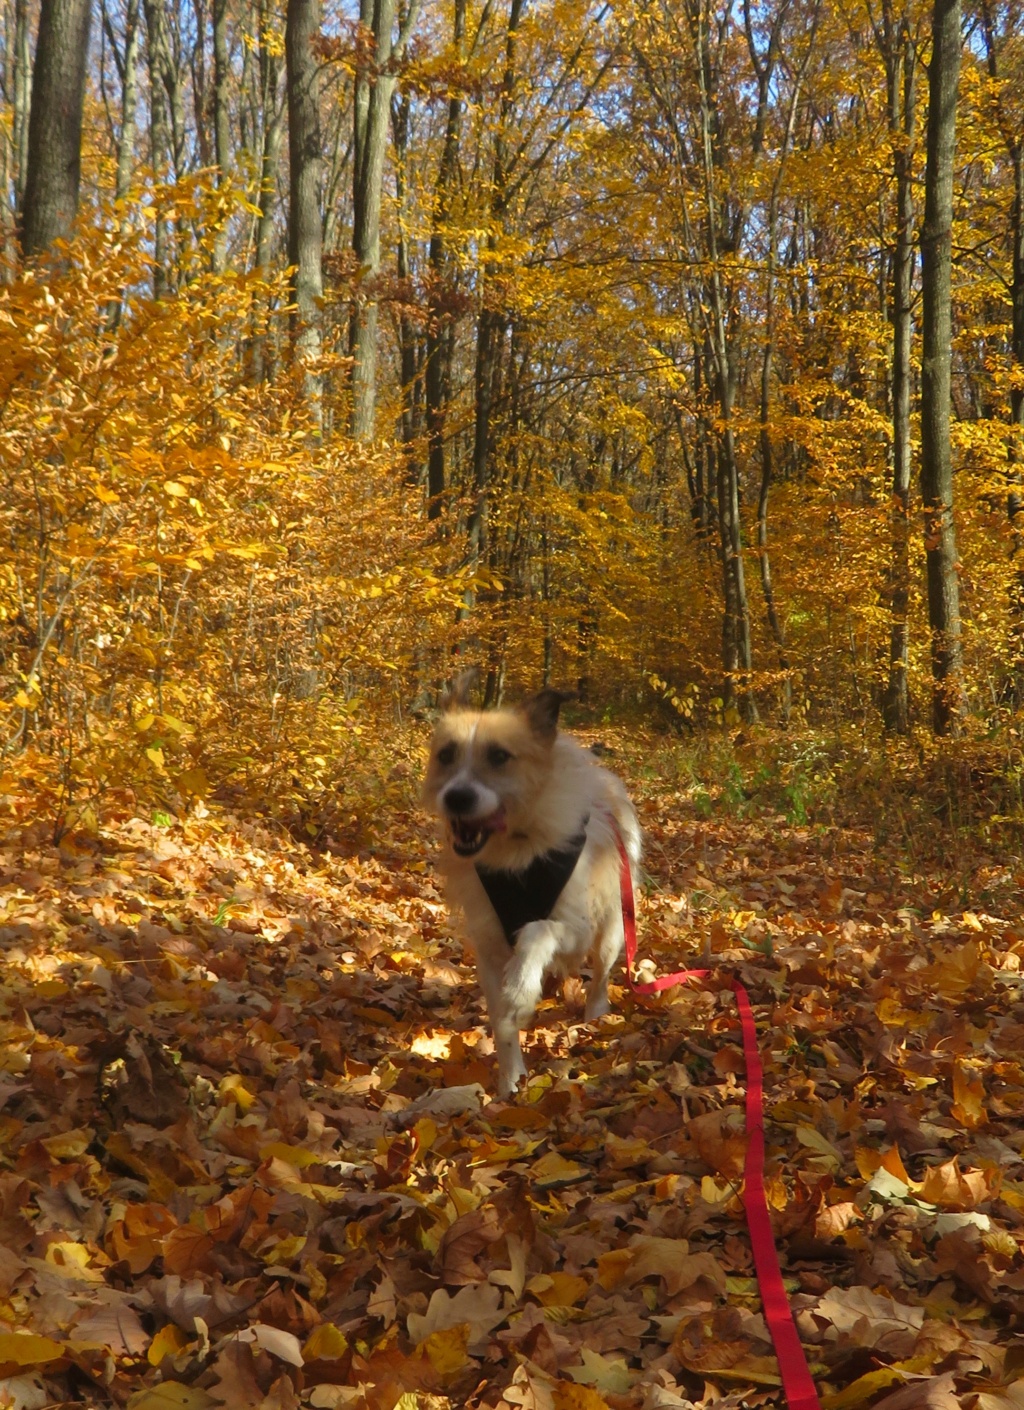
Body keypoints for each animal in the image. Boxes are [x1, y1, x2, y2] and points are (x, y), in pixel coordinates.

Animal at [423, 682, 643, 1099]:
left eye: (499, 756)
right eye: (446, 755)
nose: (457, 797)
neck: (516, 852)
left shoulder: (575, 928)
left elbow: (538, 929)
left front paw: (522, 988)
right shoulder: (489, 948)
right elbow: (502, 1022)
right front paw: (511, 1081)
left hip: (611, 931)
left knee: (600, 973)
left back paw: (595, 1013)